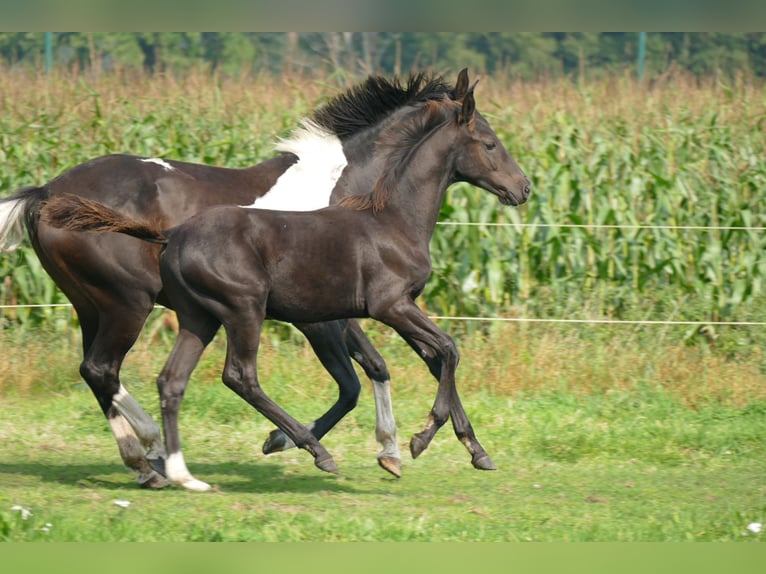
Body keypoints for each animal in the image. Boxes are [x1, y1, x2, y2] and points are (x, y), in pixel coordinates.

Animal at [42, 83, 532, 492]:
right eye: (491, 143)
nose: (523, 188)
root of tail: (46, 191)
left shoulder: (375, 309)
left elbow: (413, 362)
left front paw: (463, 450)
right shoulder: (360, 311)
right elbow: (398, 365)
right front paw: (406, 442)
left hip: (116, 309)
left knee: (126, 374)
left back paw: (159, 465)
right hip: (149, 305)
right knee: (156, 372)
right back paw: (159, 453)